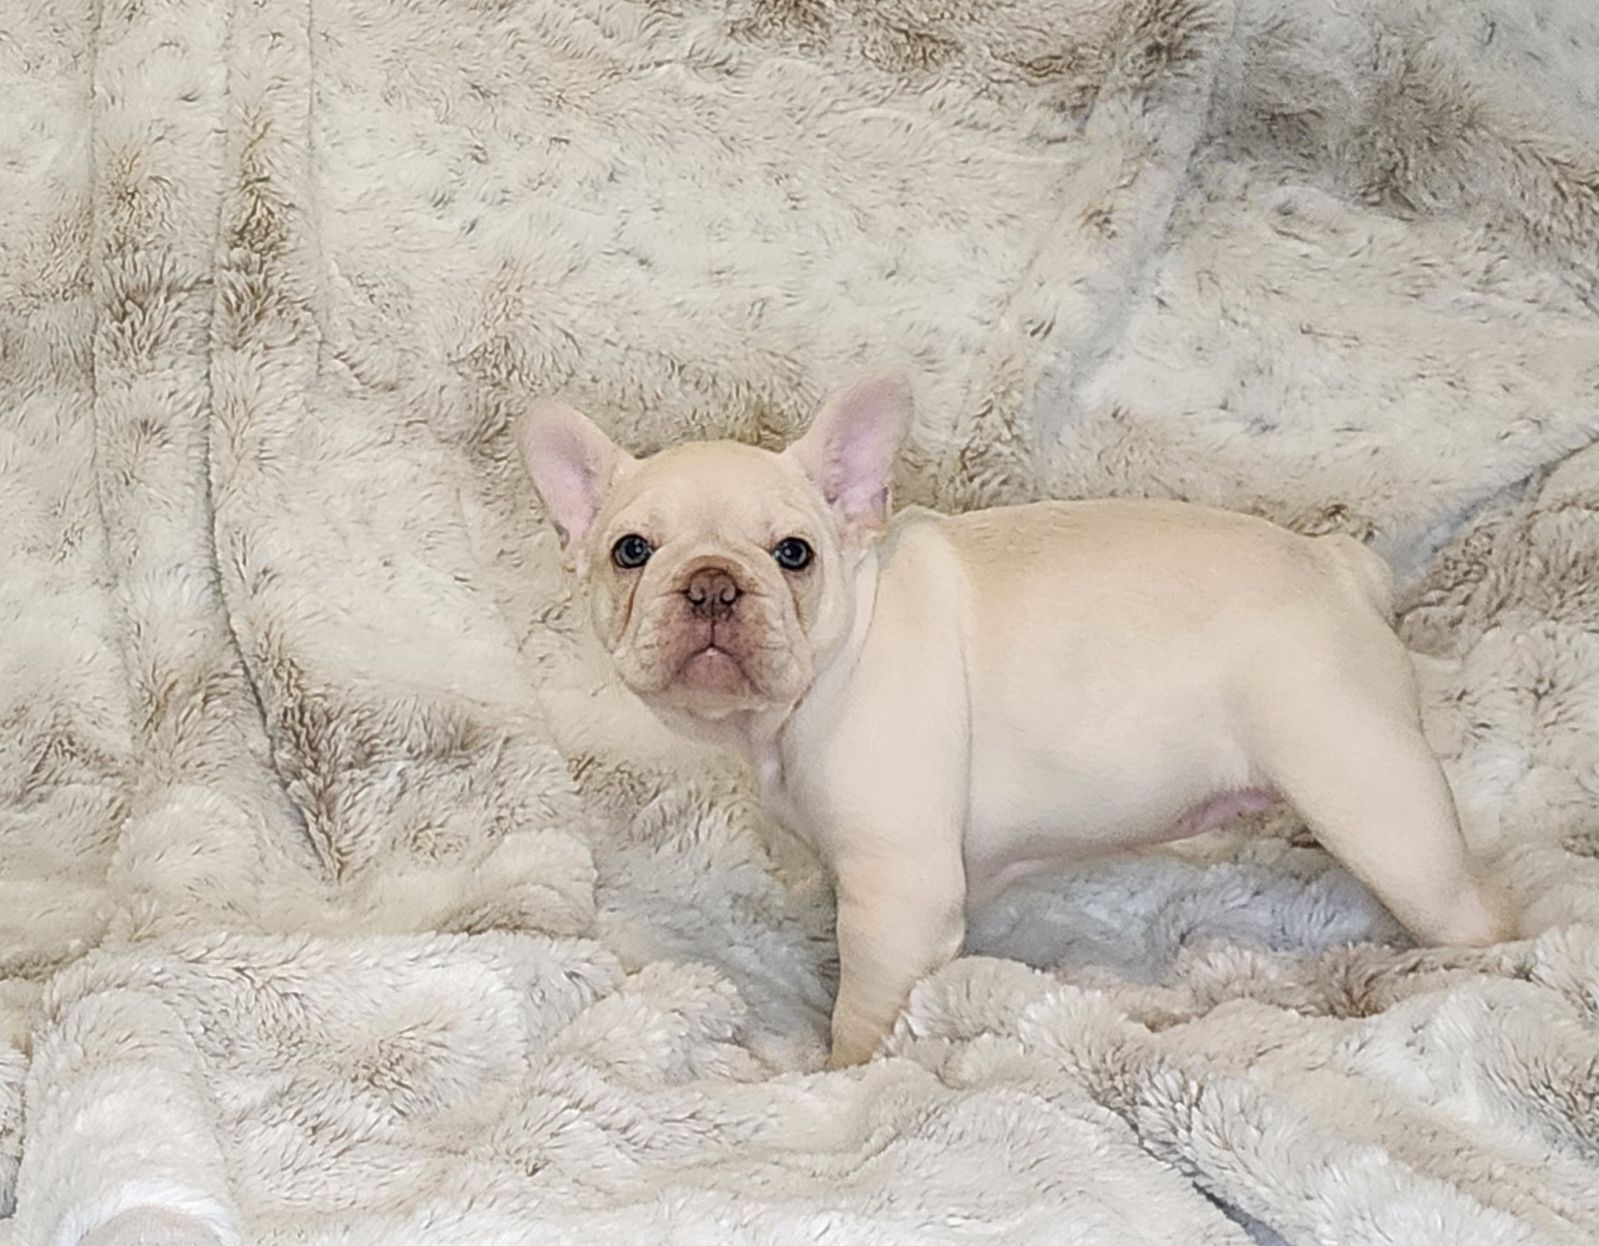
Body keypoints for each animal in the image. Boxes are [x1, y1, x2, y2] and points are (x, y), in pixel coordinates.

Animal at [517, 374, 1513, 1067]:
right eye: (630, 551)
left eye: (793, 555)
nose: (713, 585)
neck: (814, 687)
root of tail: (1339, 564)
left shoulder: (901, 894)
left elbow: (867, 1008)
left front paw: (839, 1073)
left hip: (1372, 798)